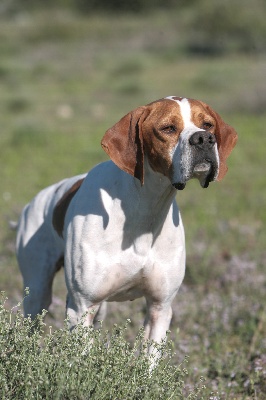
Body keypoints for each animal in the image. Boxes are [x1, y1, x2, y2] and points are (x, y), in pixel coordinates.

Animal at [16, 95, 237, 346]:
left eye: (208, 124)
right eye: (168, 128)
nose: (203, 138)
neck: (144, 208)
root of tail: (33, 202)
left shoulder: (160, 307)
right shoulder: (82, 306)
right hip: (37, 294)